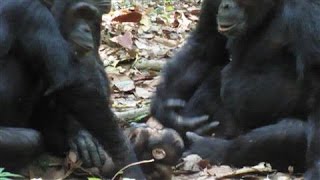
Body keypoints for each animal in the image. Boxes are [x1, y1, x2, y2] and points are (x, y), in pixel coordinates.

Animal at [0, 0, 144, 179]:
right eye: (81, 12)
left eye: (91, 17)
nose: (86, 29)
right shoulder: (32, 14)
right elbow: (70, 82)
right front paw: (128, 160)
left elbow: (88, 69)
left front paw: (81, 135)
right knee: (31, 140)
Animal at [151, 0, 320, 178]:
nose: (225, 5)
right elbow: (205, 44)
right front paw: (169, 113)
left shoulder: (307, 12)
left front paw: (316, 169)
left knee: (292, 131)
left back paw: (212, 148)